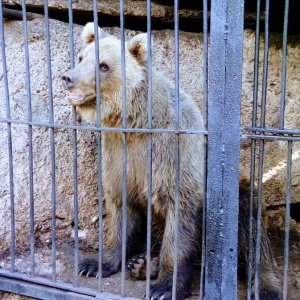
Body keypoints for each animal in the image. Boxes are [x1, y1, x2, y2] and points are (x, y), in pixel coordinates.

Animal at [62, 22, 282, 298]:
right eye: (82, 57)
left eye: (104, 66)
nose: (68, 77)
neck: (133, 122)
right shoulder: (118, 154)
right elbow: (120, 208)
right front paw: (95, 264)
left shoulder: (173, 154)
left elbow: (179, 222)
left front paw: (165, 287)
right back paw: (142, 264)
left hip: (238, 193)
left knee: (250, 230)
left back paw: (265, 285)